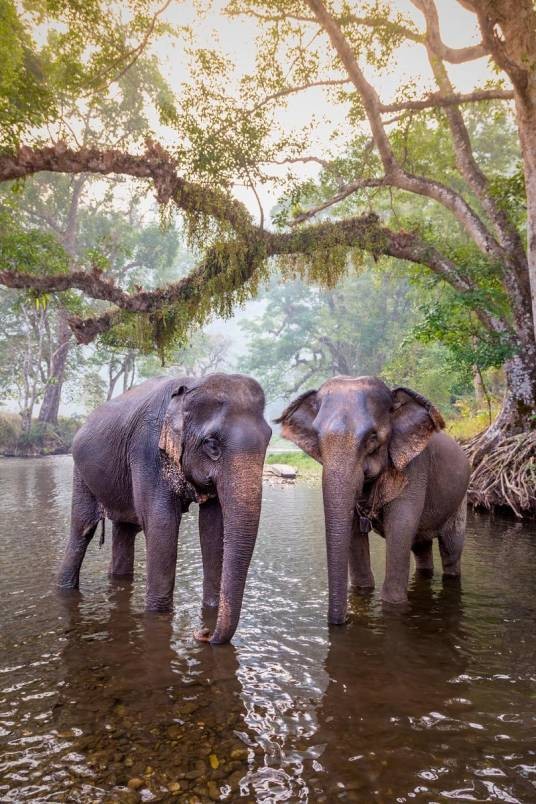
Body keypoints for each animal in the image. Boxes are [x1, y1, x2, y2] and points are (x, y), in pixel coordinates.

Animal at [57, 372, 272, 644]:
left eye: (269, 439)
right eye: (212, 444)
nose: (203, 634)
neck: (192, 384)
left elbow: (213, 528)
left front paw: (210, 610)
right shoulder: (147, 452)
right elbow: (162, 526)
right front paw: (159, 616)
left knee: (124, 531)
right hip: (80, 472)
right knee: (83, 528)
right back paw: (65, 587)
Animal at [276, 375, 470, 624]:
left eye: (372, 437)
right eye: (317, 437)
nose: (341, 622)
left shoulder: (416, 469)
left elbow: (401, 527)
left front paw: (393, 604)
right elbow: (353, 532)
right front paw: (361, 593)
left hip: (460, 500)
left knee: (451, 550)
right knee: (421, 548)